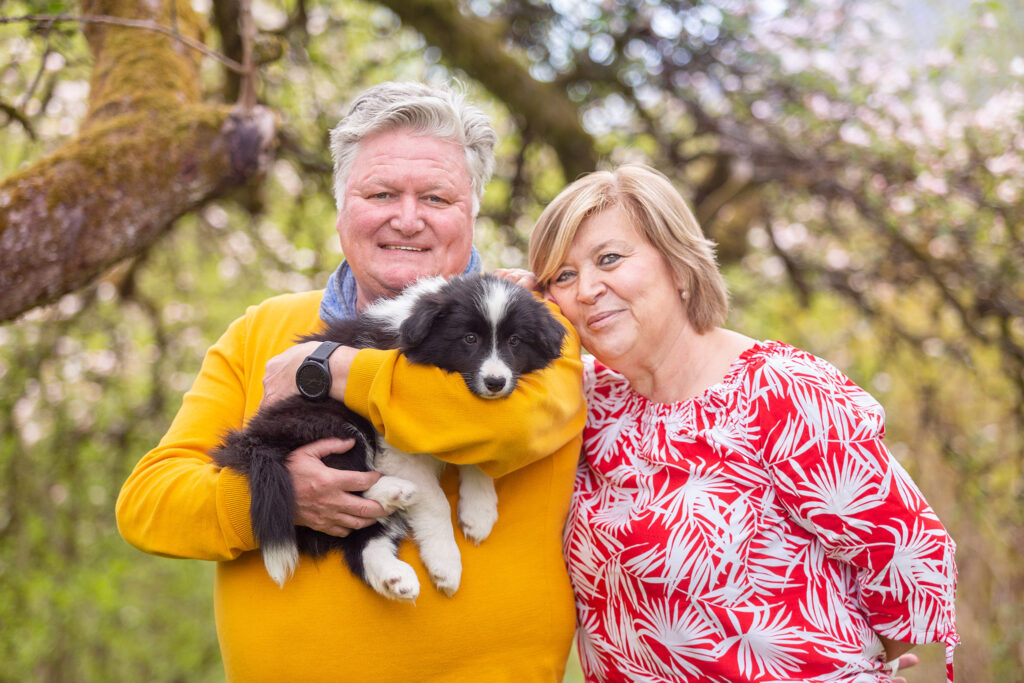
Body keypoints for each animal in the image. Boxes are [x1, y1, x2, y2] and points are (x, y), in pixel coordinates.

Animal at [212, 274, 569, 602]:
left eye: (515, 341)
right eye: (469, 339)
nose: (496, 382)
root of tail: (252, 445)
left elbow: (480, 452)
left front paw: (478, 513)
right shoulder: (396, 447)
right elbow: (435, 502)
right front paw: (446, 564)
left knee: (362, 537)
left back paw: (394, 576)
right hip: (329, 423)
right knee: (337, 486)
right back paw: (396, 491)